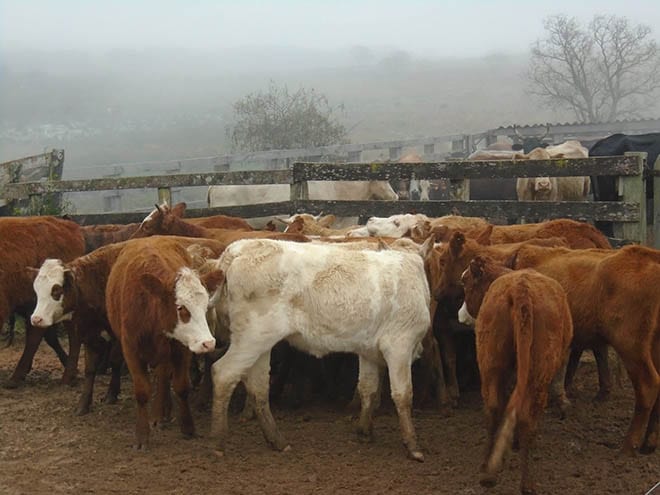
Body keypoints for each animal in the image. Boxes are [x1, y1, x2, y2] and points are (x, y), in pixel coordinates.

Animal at [105, 236, 224, 450]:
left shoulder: (181, 348)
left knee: (162, 376)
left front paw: (188, 427)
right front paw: (142, 435)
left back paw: (161, 412)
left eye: (205, 306)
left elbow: (181, 387)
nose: (208, 343)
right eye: (181, 308)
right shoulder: (130, 349)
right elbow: (142, 391)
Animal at [458, 258, 572, 494]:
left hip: (491, 363)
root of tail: (521, 288)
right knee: (527, 417)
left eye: (465, 282)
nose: (460, 314)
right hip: (538, 372)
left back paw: (486, 471)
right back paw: (527, 483)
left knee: (493, 408)